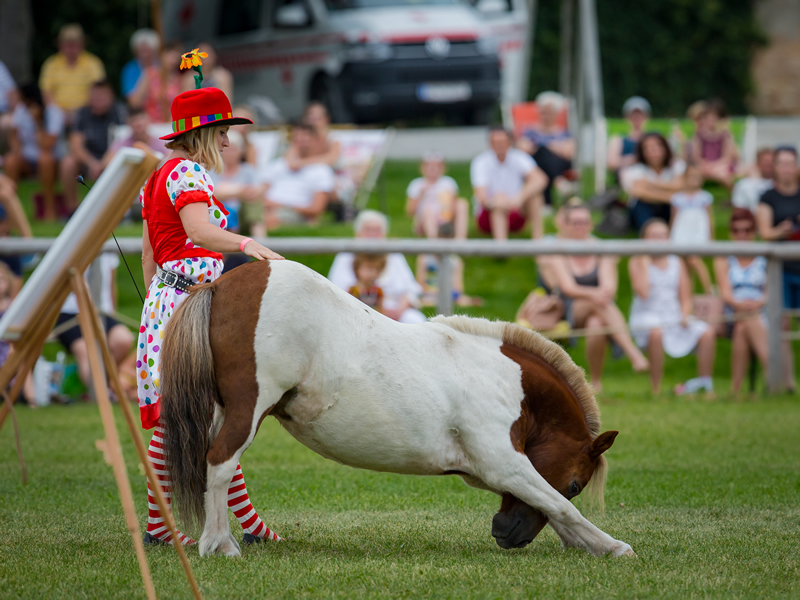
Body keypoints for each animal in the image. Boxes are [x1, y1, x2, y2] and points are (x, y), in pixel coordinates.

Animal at [159, 262, 636, 556]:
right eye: (576, 483)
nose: (506, 534)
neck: (502, 378)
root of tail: (221, 285)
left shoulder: (492, 471)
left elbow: (549, 504)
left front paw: (585, 544)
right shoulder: (504, 465)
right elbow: (557, 504)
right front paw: (611, 546)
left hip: (221, 412)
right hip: (247, 410)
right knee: (220, 463)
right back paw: (219, 544)